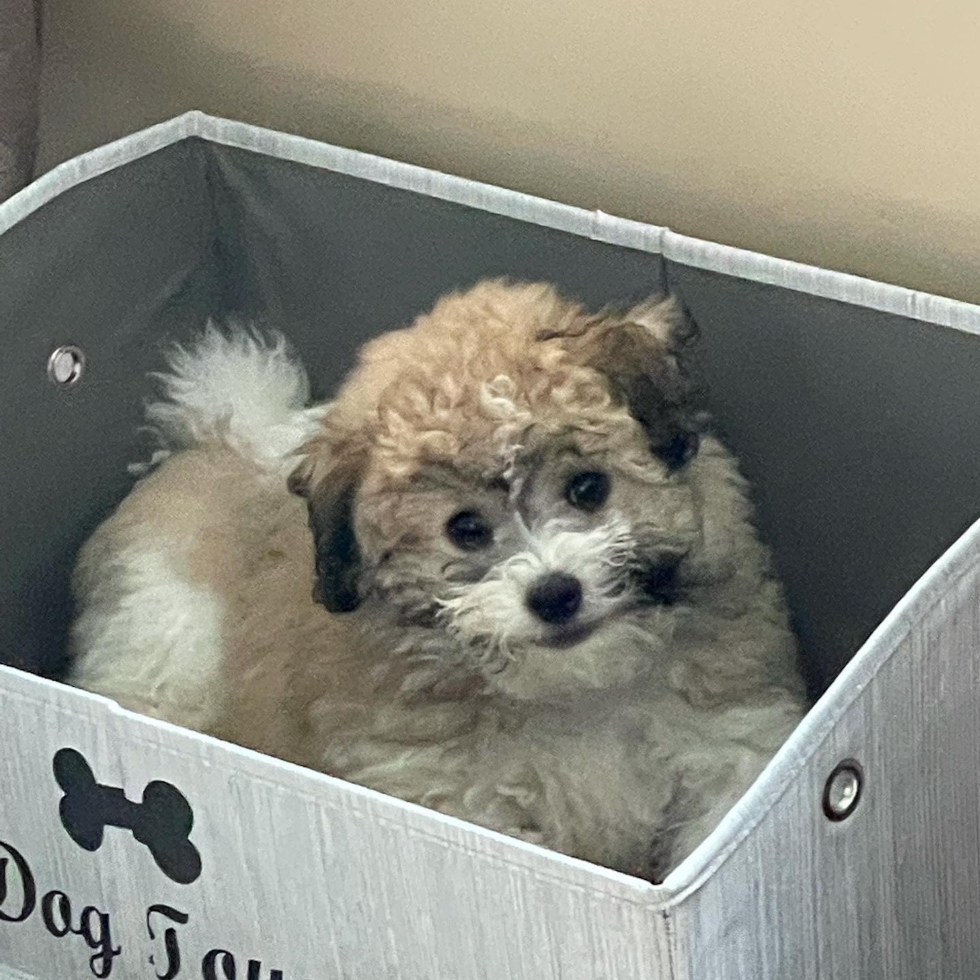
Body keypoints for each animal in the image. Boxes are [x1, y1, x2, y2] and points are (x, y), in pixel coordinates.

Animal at [67, 278, 804, 880]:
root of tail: (216, 439)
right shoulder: (453, 797)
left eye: (589, 487)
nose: (555, 593)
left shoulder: (729, 746)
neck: (574, 689)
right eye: (465, 529)